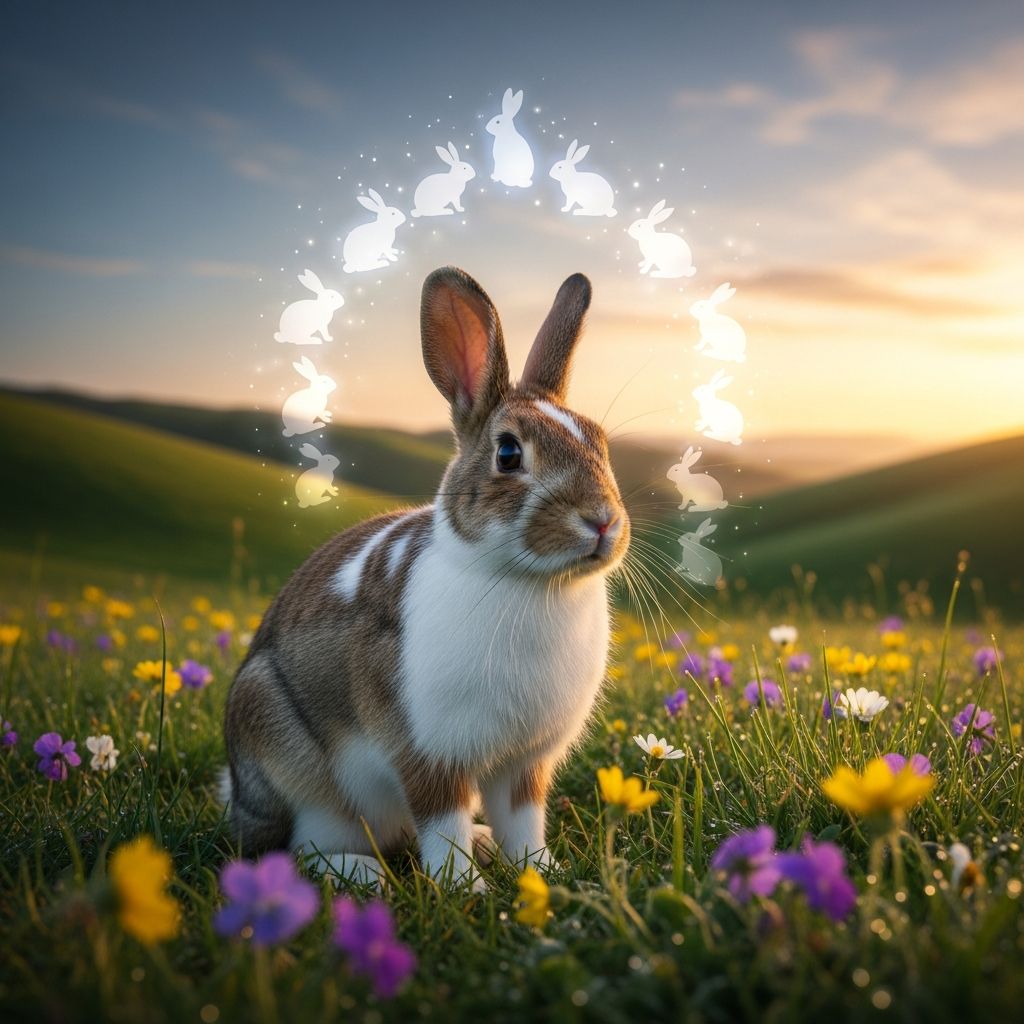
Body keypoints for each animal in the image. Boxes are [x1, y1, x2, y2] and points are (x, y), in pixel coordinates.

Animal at [223, 266, 630, 893]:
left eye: (600, 443)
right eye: (508, 453)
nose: (603, 521)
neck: (528, 582)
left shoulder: (525, 764)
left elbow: (523, 820)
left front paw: (541, 874)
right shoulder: (427, 752)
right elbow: (442, 822)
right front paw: (465, 889)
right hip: (291, 759)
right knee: (302, 850)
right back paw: (367, 875)